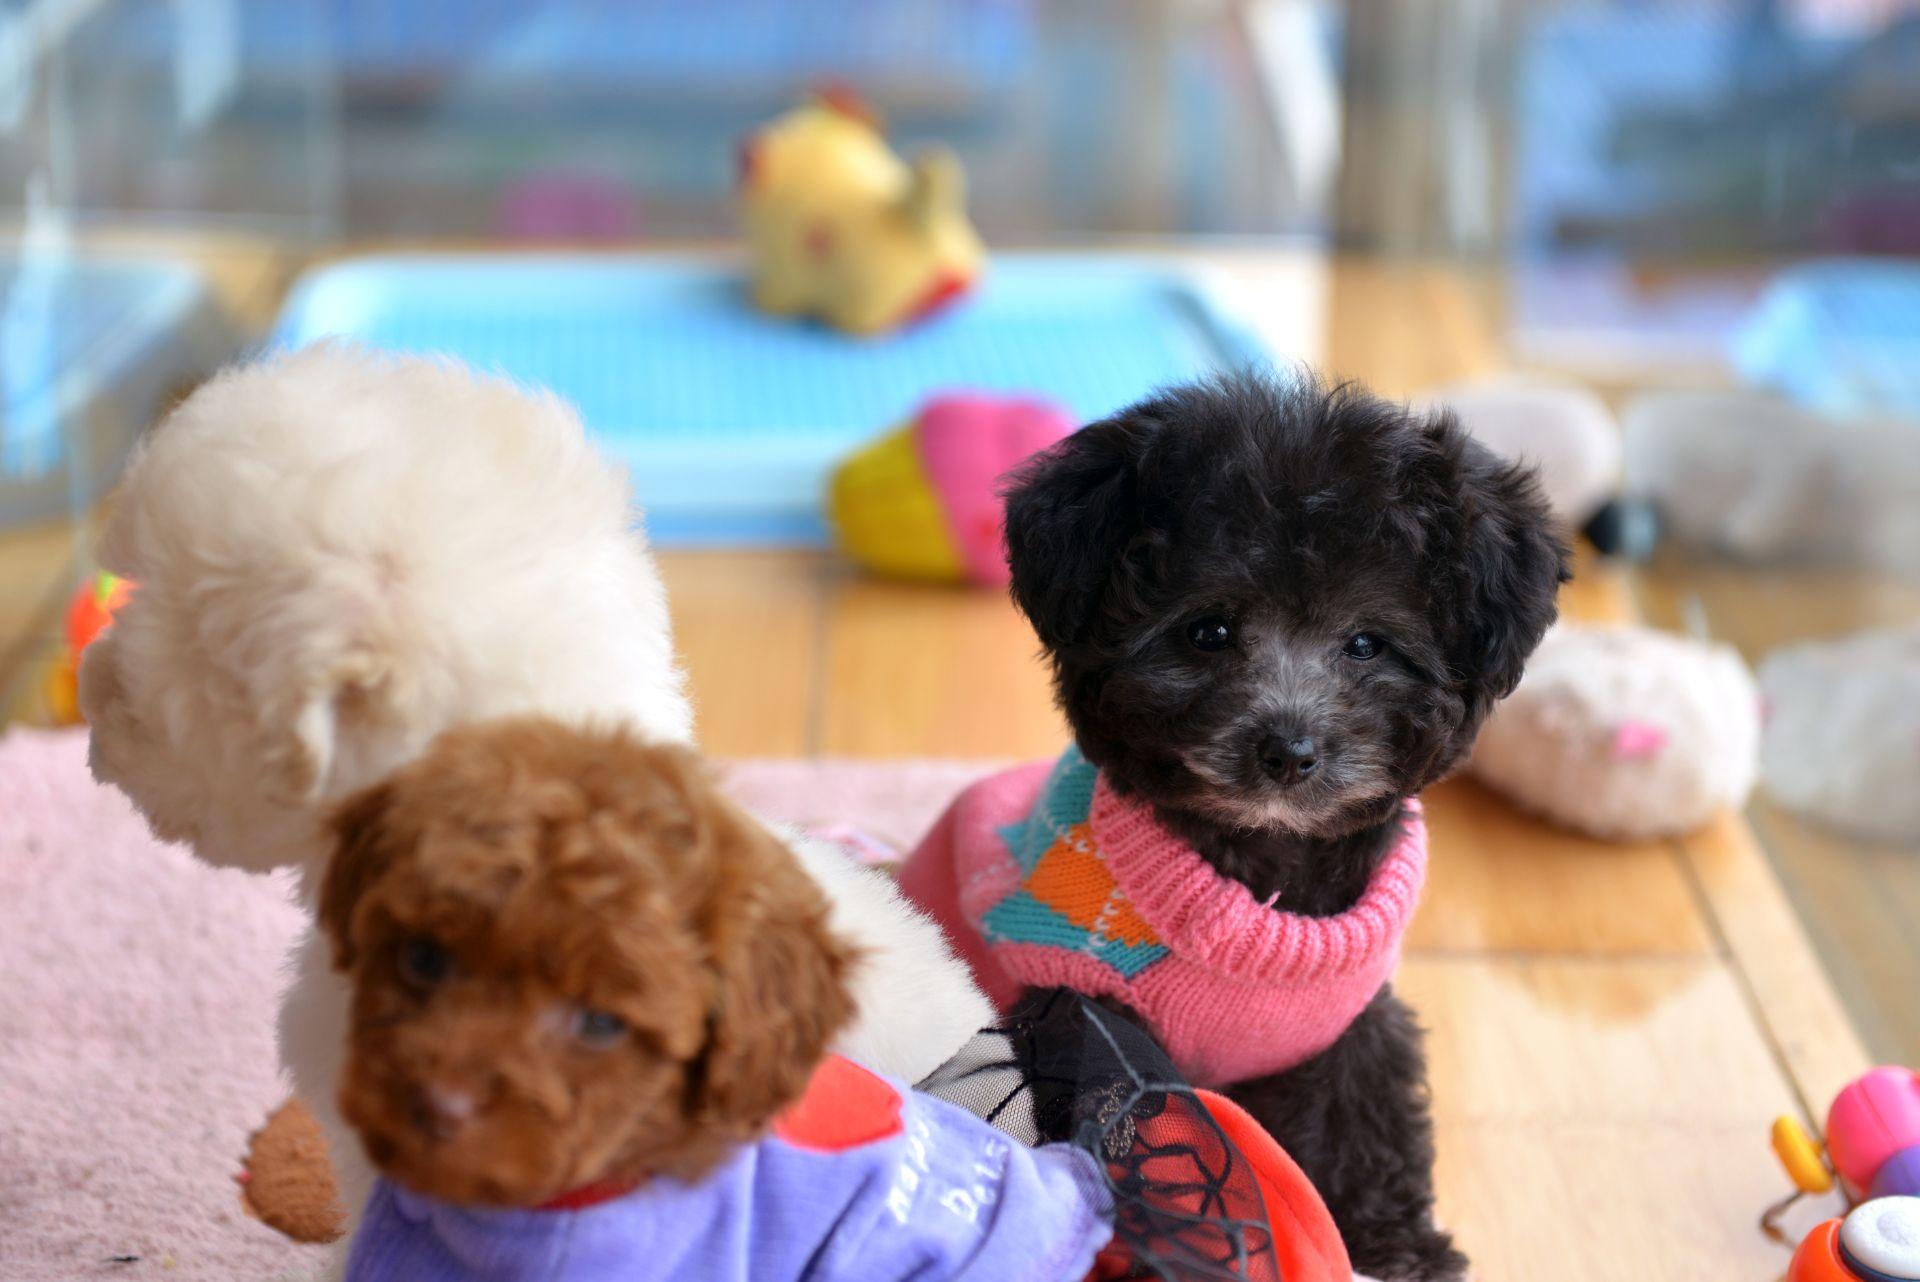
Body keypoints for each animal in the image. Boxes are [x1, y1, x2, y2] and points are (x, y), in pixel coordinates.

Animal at [1006, 368, 1574, 1274]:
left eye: (1366, 644)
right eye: (1208, 631)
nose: (1290, 749)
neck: (1263, 865)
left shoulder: (1350, 1024)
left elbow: (1363, 1121)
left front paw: (1397, 1246)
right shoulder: (1087, 1013)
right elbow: (1149, 1131)